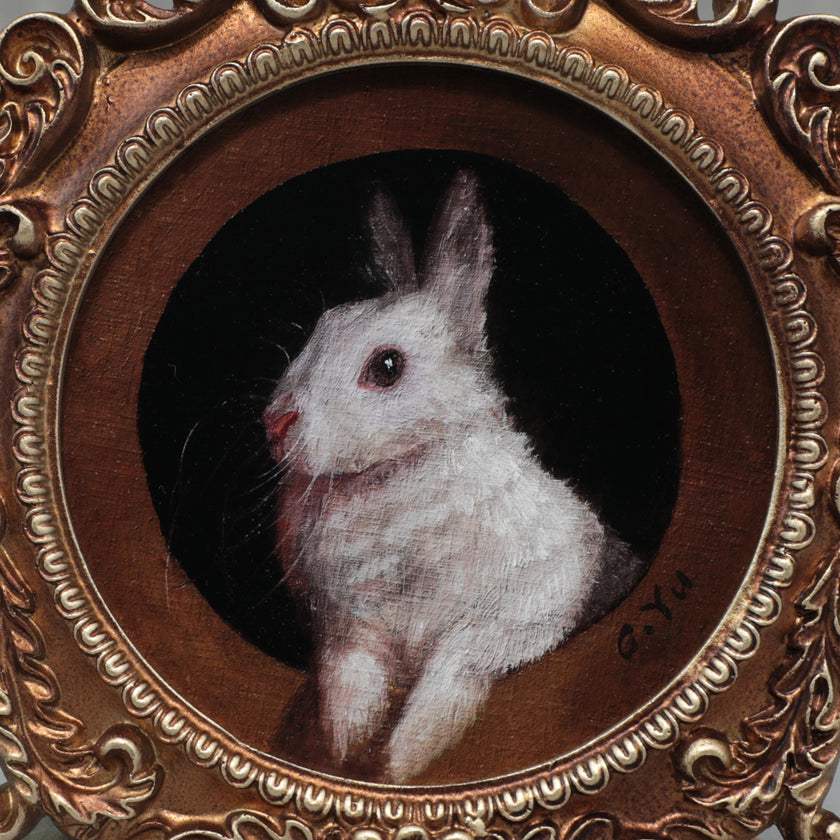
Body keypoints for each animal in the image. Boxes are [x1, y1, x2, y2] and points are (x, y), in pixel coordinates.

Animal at [263, 171, 643, 783]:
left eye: (386, 367)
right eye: (321, 329)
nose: (275, 422)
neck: (395, 474)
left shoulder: (533, 601)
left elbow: (459, 661)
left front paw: (405, 756)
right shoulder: (348, 627)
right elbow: (351, 674)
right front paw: (345, 743)